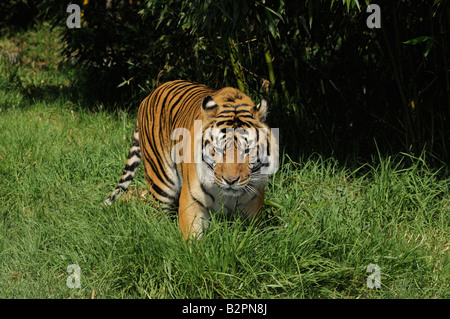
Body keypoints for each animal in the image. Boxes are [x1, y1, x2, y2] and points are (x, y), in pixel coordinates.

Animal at [105, 80, 278, 240]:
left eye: (247, 150)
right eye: (218, 149)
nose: (230, 180)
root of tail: (149, 95)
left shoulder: (253, 203)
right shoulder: (191, 199)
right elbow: (192, 236)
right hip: (161, 181)